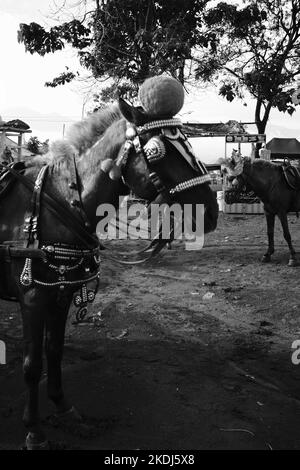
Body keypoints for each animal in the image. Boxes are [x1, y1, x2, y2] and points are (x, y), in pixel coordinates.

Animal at [0, 75, 218, 450]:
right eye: (157, 150)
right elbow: (31, 364)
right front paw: (34, 430)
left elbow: (54, 350)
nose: (211, 210)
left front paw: (62, 405)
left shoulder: (61, 293)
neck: (60, 203)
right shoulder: (32, 297)